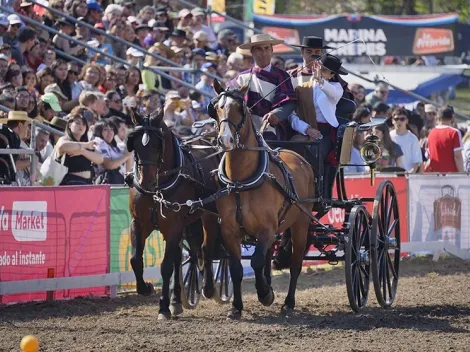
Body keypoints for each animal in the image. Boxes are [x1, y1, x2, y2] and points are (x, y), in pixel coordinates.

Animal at [126, 106, 222, 320]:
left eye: (157, 145)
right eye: (134, 144)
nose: (145, 183)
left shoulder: (173, 226)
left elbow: (166, 266)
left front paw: (163, 308)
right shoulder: (139, 223)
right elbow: (135, 259)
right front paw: (146, 288)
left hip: (208, 217)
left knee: (206, 248)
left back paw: (209, 288)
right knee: (184, 256)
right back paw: (177, 301)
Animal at [210, 80, 316, 320]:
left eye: (240, 108)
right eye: (217, 108)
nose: (225, 140)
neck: (240, 181)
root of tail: (301, 159)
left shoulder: (266, 228)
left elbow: (256, 261)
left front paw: (265, 294)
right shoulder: (229, 231)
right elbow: (237, 268)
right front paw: (236, 307)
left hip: (301, 223)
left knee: (295, 263)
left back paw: (288, 302)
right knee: (268, 255)